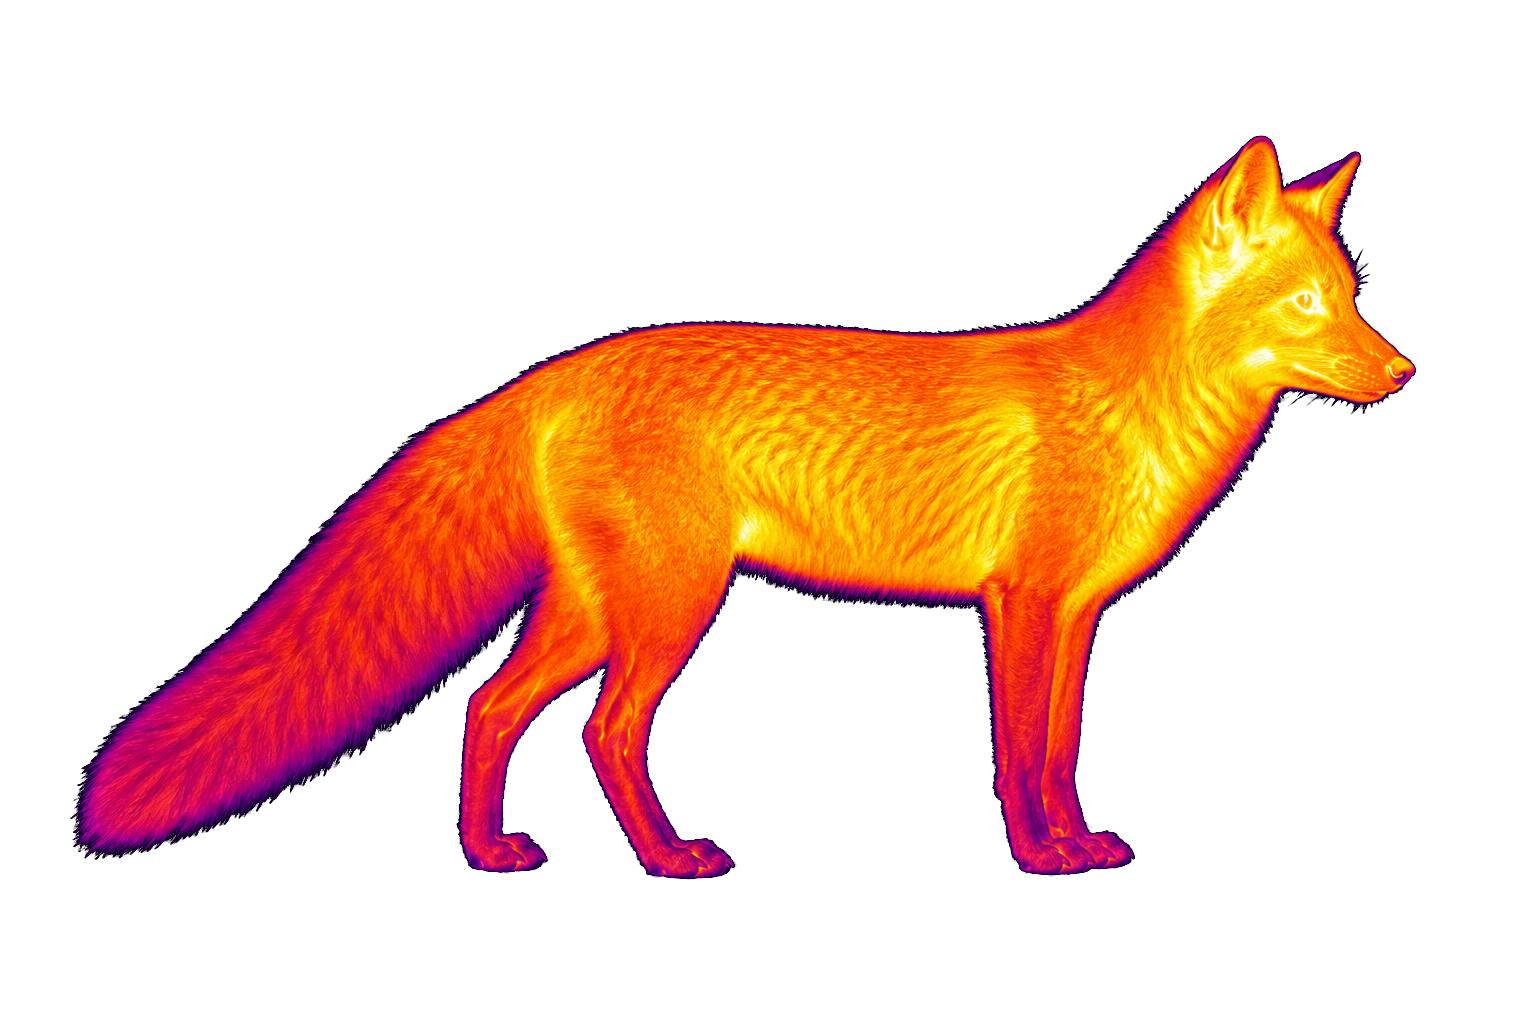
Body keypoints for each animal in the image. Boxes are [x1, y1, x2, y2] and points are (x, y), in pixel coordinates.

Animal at [80, 138, 1414, 876]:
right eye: (1307, 307)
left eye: (1350, 297)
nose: (1404, 372)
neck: (1131, 409)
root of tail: (557, 370)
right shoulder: (1021, 601)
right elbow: (1015, 752)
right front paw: (1039, 856)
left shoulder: (1078, 613)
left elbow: (1061, 745)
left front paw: (1077, 841)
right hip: (669, 609)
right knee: (604, 730)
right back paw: (670, 861)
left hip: (599, 610)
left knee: (489, 706)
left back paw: (485, 851)